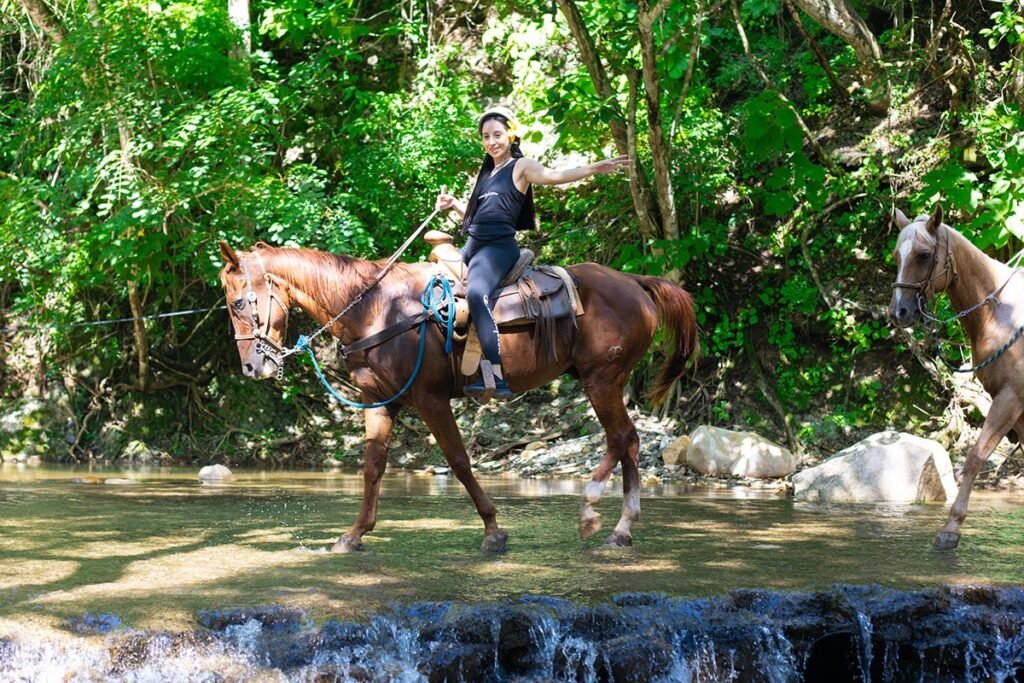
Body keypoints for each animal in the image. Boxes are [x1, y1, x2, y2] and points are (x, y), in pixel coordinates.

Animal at [220, 239, 700, 548]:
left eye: (239, 302)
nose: (252, 367)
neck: (374, 310)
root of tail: (634, 282)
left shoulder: (430, 399)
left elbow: (458, 461)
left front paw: (493, 530)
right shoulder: (381, 403)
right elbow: (373, 467)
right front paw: (354, 534)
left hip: (601, 378)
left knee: (621, 439)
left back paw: (594, 515)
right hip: (604, 381)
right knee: (629, 442)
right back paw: (622, 529)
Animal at [888, 206, 1024, 548]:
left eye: (924, 255)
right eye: (896, 256)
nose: (898, 313)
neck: (1002, 313)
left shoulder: (1011, 398)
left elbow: (975, 457)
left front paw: (951, 528)